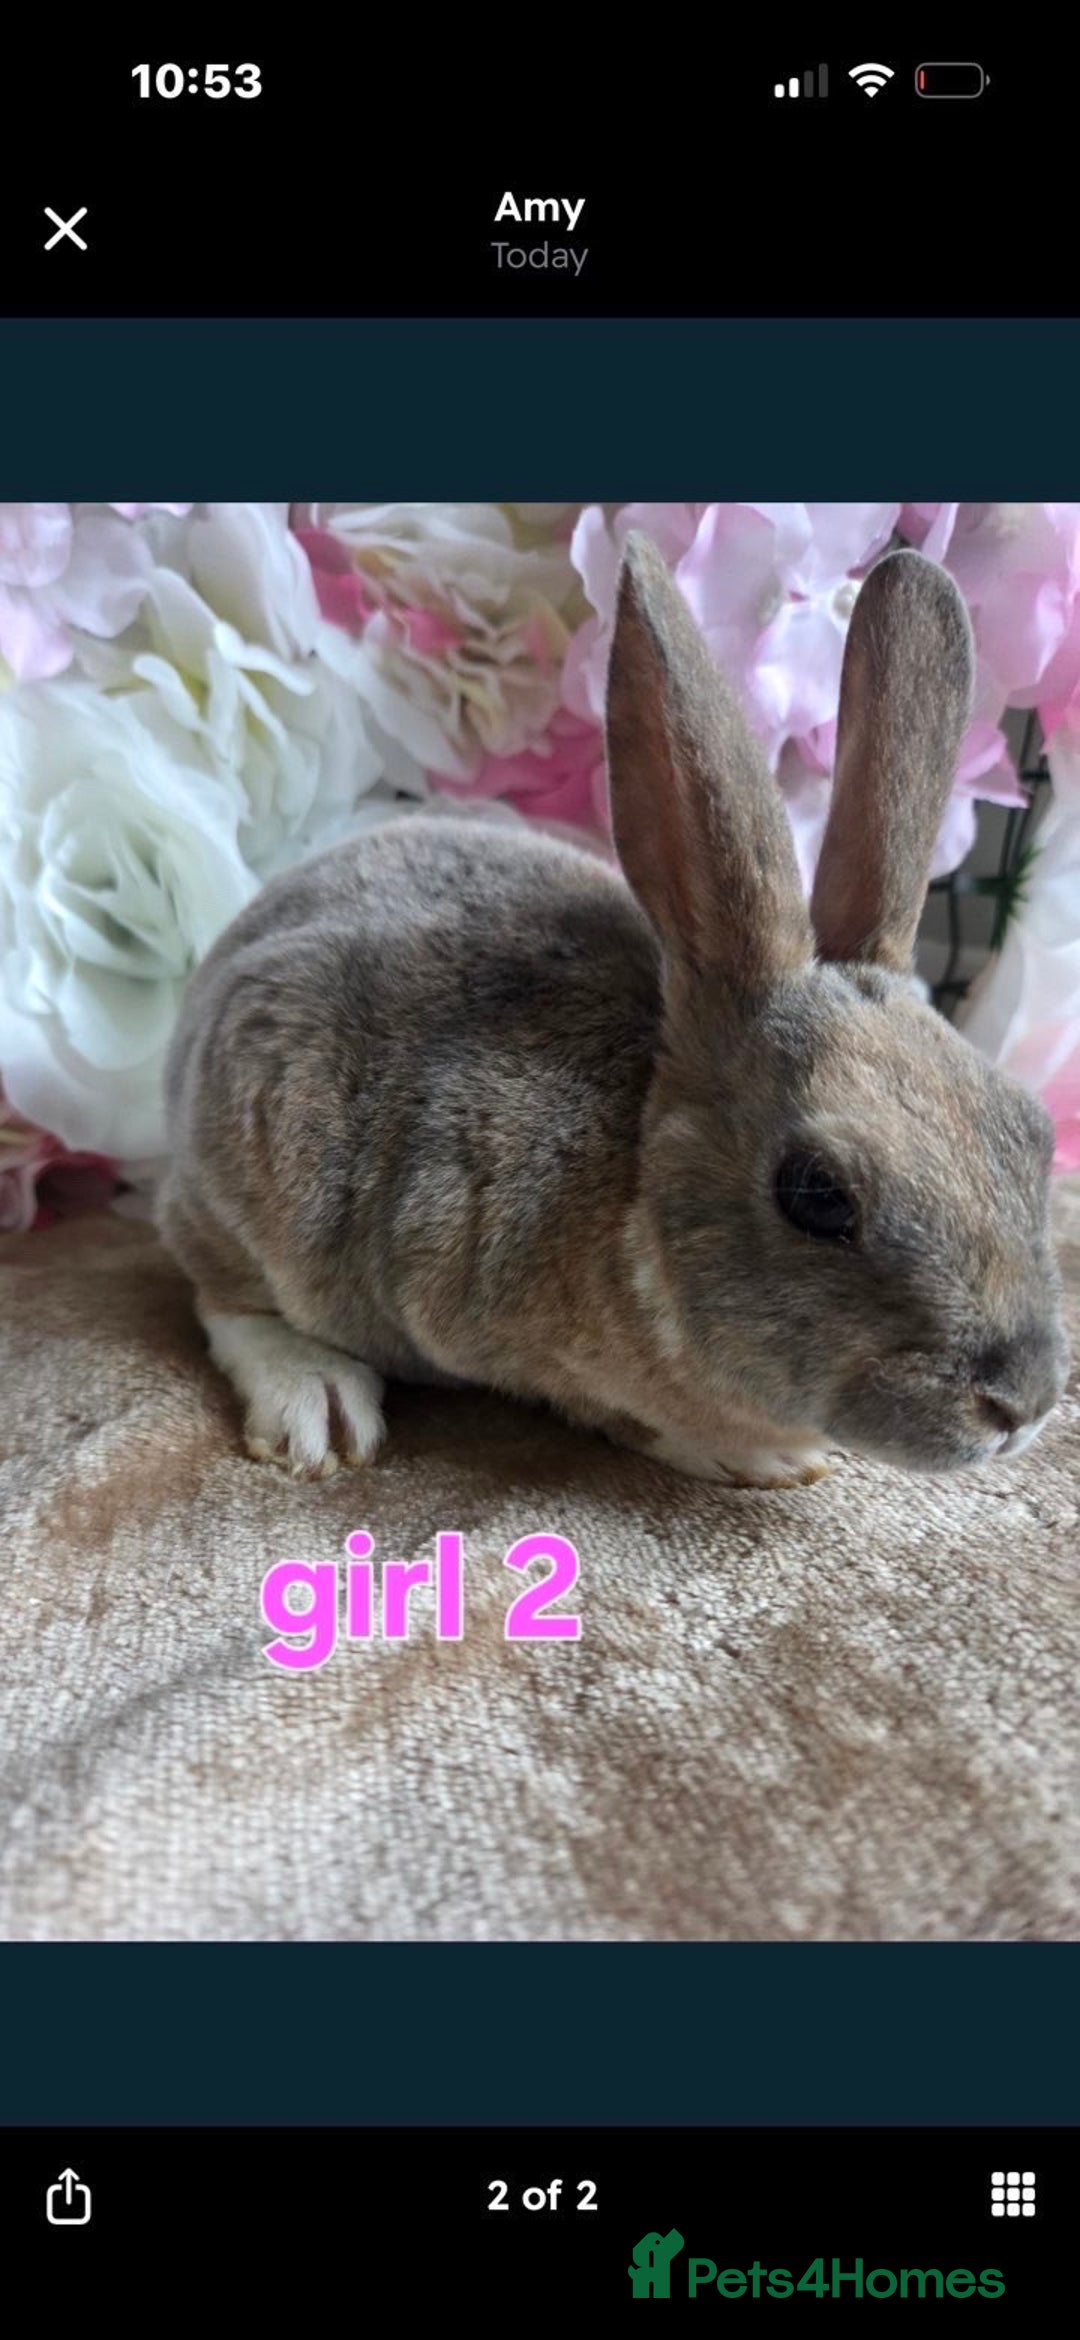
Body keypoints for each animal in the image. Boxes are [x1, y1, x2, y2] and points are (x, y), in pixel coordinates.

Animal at [157, 536, 1070, 1487]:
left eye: (1033, 1132)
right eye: (817, 1195)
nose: (1023, 1404)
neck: (638, 1180)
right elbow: (628, 1415)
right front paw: (766, 1456)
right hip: (254, 1159)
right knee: (225, 1294)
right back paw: (319, 1408)